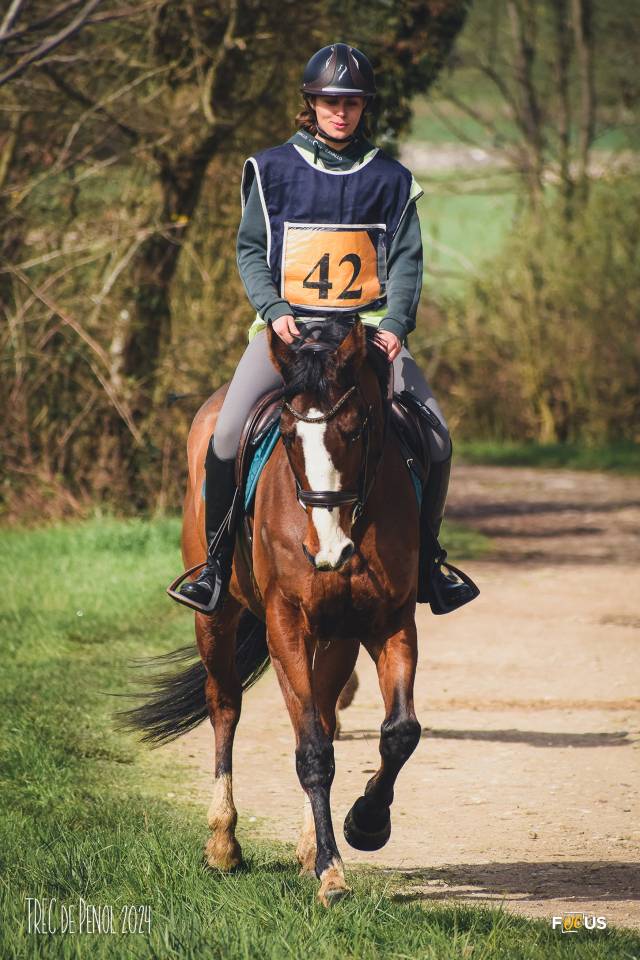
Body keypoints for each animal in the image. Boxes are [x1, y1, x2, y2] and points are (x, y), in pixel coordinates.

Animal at [124, 318, 423, 906]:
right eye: (287, 438)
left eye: (356, 431)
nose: (328, 551)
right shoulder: (287, 625)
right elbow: (311, 750)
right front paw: (332, 873)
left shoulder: (388, 622)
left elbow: (398, 732)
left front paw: (364, 826)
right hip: (215, 619)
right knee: (225, 707)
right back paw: (223, 845)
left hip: (336, 639)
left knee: (326, 716)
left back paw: (307, 846)